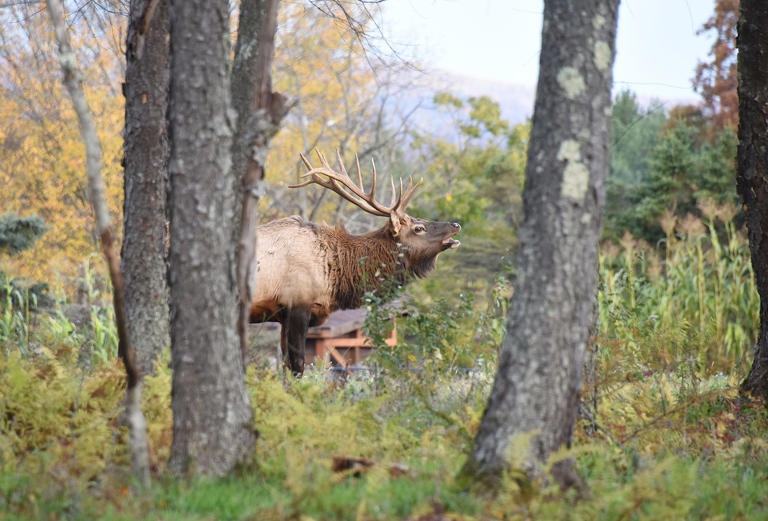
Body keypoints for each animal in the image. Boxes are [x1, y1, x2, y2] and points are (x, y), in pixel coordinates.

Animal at [249, 150, 460, 374]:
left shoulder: (283, 315)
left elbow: (286, 367)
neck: (335, 275)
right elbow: (297, 365)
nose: (456, 224)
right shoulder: (296, 303)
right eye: (419, 228)